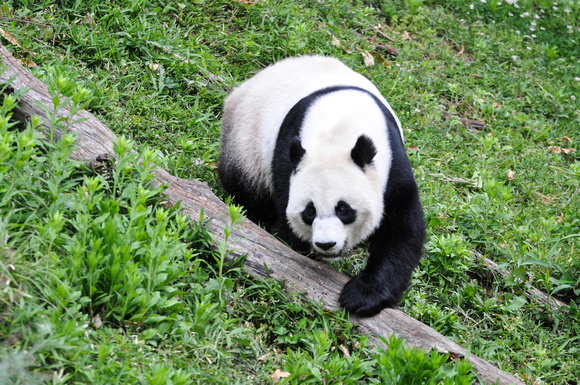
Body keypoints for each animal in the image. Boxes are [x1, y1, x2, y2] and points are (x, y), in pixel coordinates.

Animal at [218, 55, 426, 316]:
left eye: (343, 209)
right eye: (310, 211)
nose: (326, 244)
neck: (340, 129)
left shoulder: (390, 162)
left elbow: (403, 226)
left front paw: (362, 297)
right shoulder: (287, 158)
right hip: (246, 143)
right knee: (245, 187)